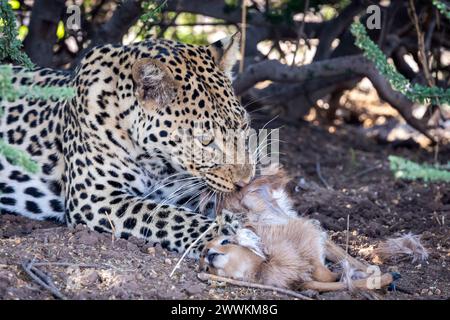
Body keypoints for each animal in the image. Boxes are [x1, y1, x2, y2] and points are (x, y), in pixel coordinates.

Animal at [0, 32, 255, 258]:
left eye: (243, 125)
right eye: (205, 140)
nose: (245, 181)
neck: (157, 162)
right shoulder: (96, 197)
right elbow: (166, 215)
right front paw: (223, 231)